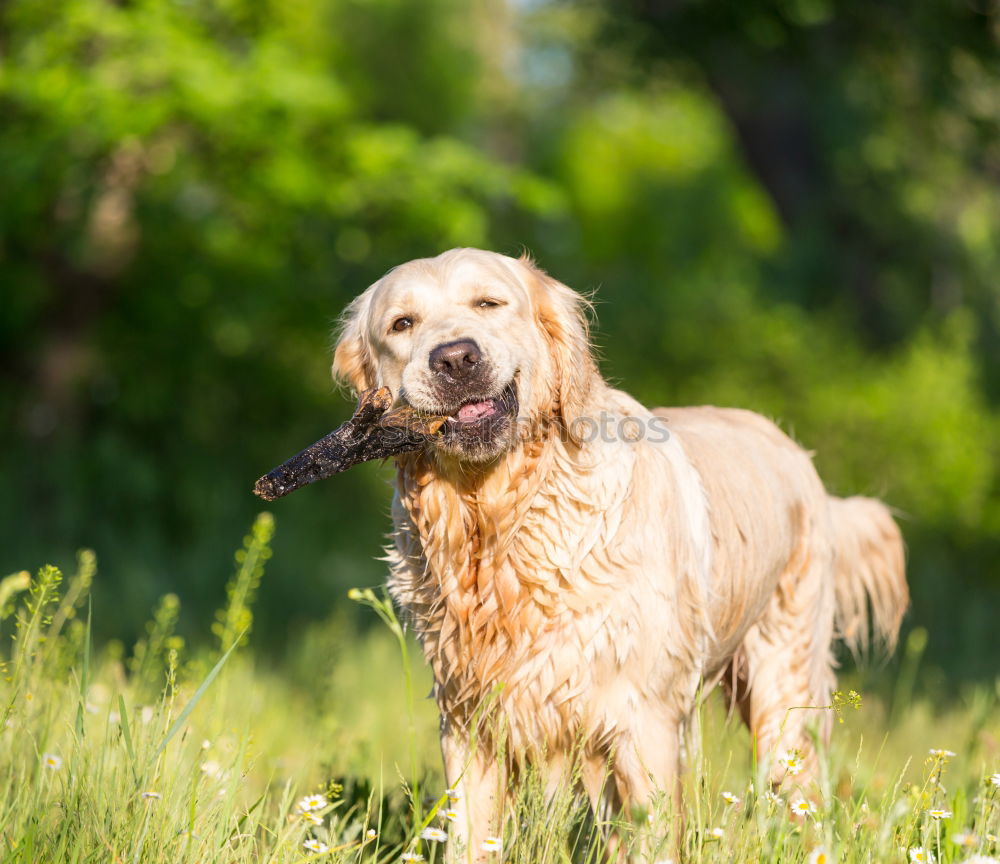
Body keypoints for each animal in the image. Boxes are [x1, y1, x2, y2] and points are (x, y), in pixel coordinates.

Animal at [332, 246, 912, 860]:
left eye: (488, 303)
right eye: (402, 324)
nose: (455, 358)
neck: (501, 517)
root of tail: (794, 449)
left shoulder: (645, 719)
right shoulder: (469, 721)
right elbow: (470, 838)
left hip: (784, 683)